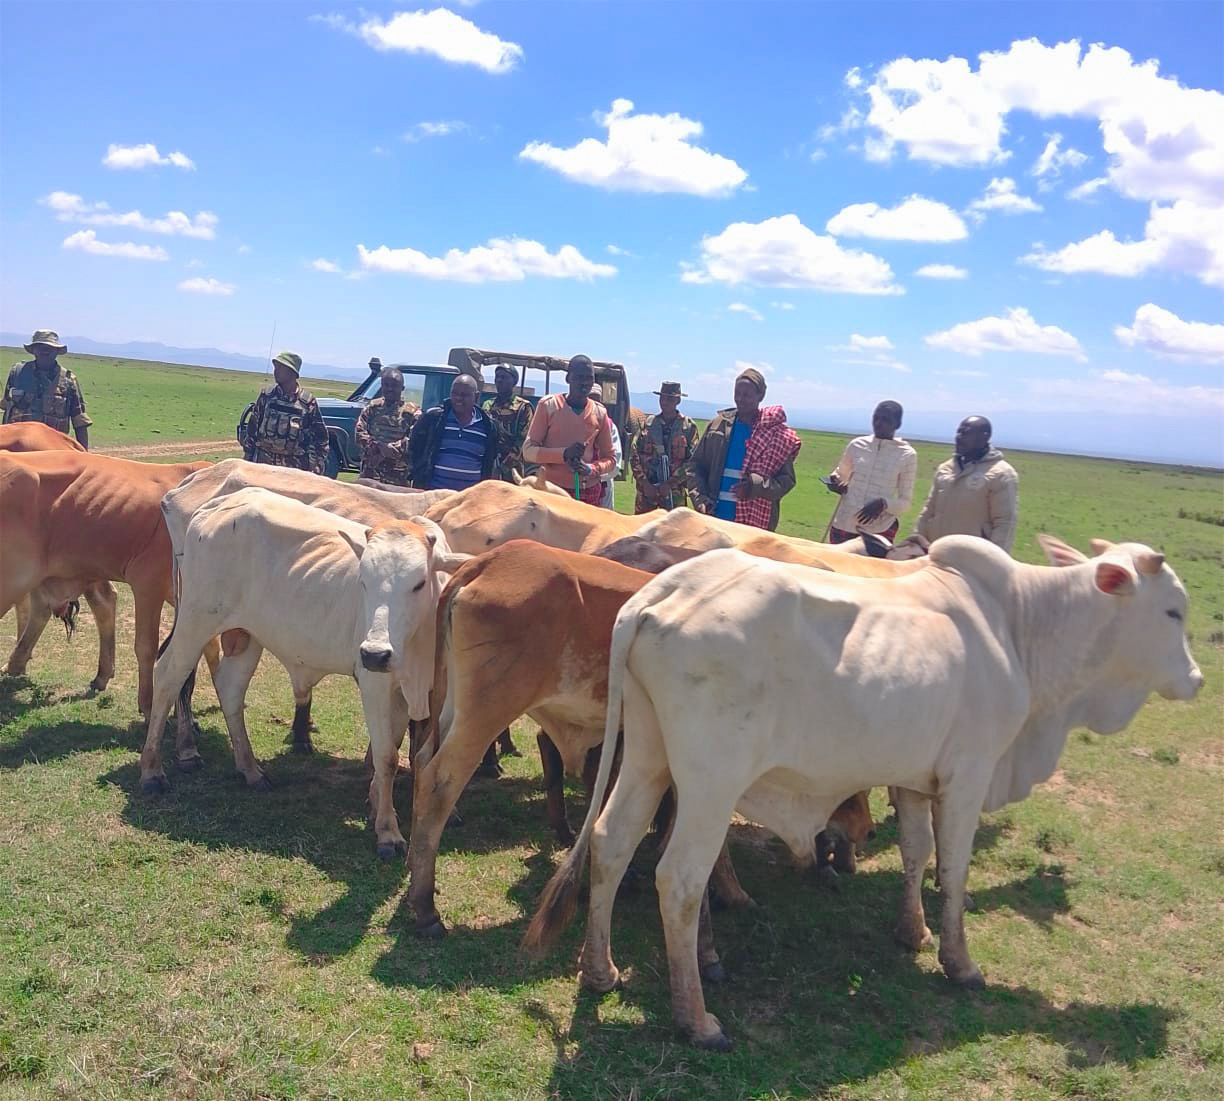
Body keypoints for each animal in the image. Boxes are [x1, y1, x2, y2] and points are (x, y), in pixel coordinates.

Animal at [139, 487, 467, 856]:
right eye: (363, 581)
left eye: (419, 583)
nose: (375, 653)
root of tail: (218, 504)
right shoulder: (376, 684)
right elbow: (386, 757)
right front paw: (388, 832)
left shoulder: (438, 693)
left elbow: (417, 750)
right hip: (196, 620)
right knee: (168, 677)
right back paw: (152, 772)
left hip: (247, 635)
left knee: (230, 690)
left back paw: (251, 771)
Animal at [406, 540, 876, 937]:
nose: (864, 832)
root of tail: (491, 560)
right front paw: (734, 894)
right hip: (487, 711)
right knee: (439, 781)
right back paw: (425, 908)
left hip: (457, 707)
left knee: (423, 759)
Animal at [524, 535, 1202, 1049]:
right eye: (1173, 611)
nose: (1196, 680)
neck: (1020, 629)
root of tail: (656, 595)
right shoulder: (969, 775)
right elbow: (954, 870)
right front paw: (960, 963)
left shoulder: (916, 779)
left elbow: (916, 853)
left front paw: (913, 931)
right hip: (711, 784)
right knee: (680, 878)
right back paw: (696, 1017)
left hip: (647, 754)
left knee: (612, 843)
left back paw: (600, 970)